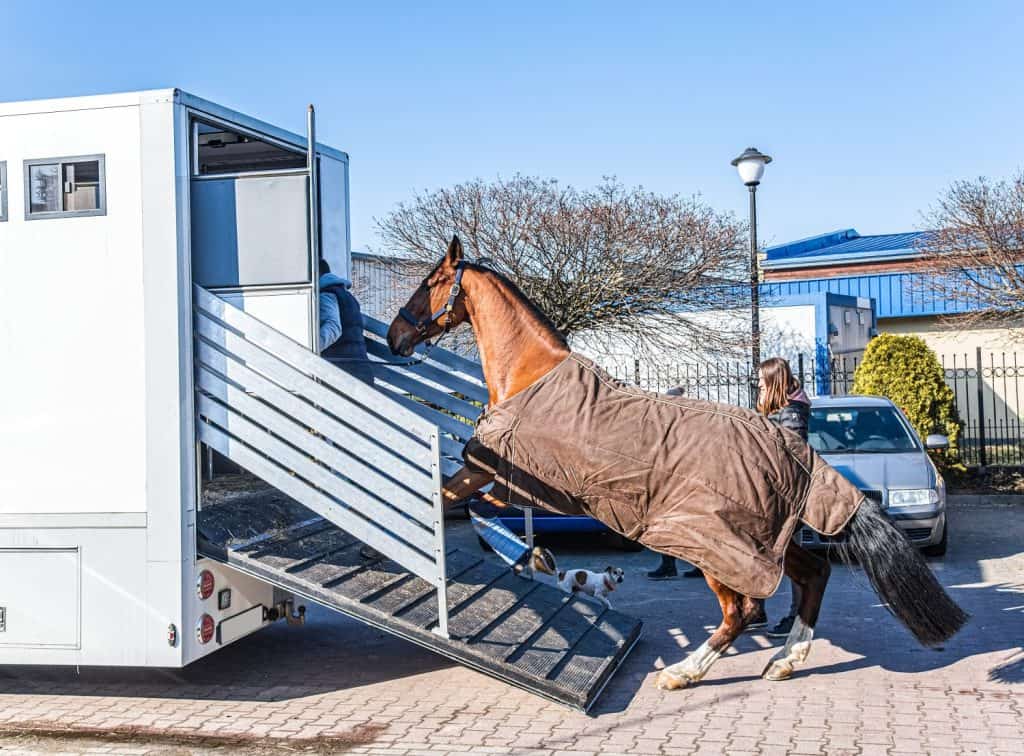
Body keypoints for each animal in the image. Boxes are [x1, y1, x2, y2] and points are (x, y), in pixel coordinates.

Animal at [386, 234, 968, 689]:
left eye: (430, 282)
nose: (395, 336)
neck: (531, 376)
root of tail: (794, 449)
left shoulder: (500, 477)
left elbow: (458, 501)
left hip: (717, 544)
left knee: (742, 611)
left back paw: (686, 671)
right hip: (767, 539)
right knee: (813, 573)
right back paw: (784, 660)